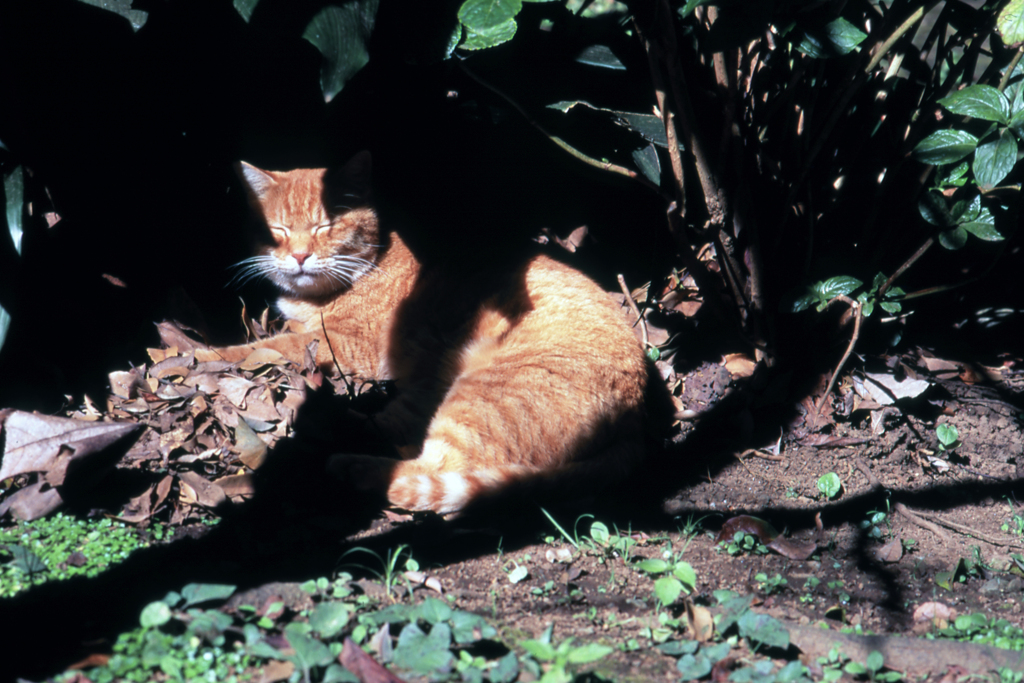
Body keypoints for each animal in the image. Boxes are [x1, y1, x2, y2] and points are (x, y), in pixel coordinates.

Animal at [207, 150, 647, 511]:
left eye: (325, 226)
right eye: (278, 230)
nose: (299, 256)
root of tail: (639, 419)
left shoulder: (349, 346)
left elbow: (270, 345)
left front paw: (200, 354)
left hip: (481, 395)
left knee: (432, 469)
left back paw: (344, 460)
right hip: (436, 389)